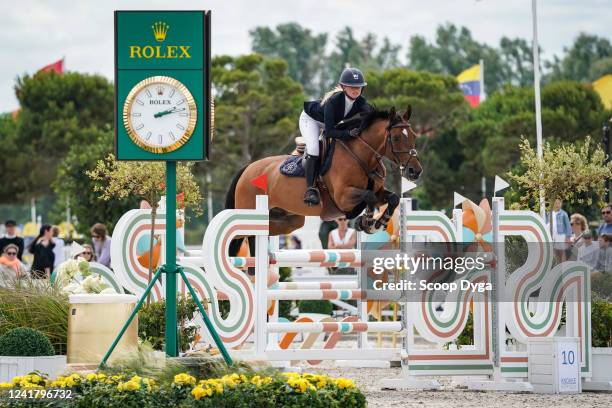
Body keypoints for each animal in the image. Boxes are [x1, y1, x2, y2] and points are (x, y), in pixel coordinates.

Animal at [225, 105, 420, 253]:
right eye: (396, 137)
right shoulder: (343, 197)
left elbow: (392, 198)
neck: (361, 156)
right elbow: (368, 197)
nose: (415, 171)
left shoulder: (378, 192)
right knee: (240, 235)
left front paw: (377, 223)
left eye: (413, 136)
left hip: (289, 220)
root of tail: (247, 168)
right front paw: (367, 222)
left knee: (259, 232)